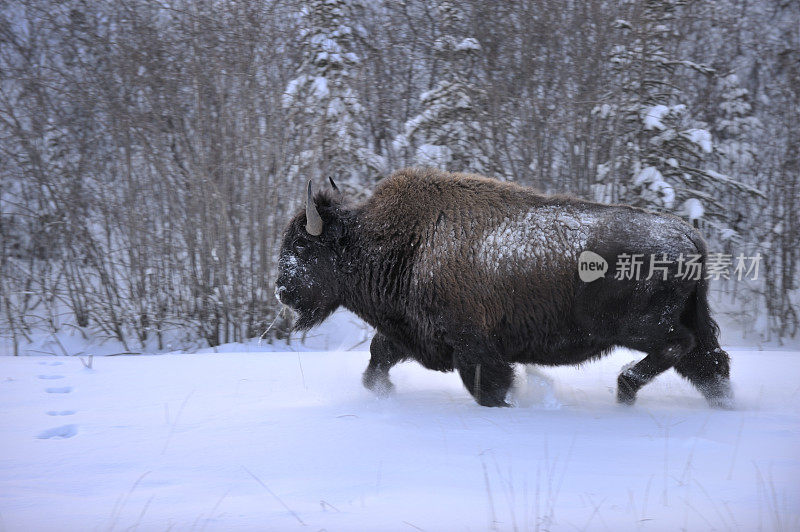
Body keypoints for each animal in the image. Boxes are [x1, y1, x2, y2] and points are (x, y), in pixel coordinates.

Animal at [276, 168, 732, 410]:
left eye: (301, 245)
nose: (281, 290)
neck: (405, 243)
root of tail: (690, 236)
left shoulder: (472, 348)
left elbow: (489, 387)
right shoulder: (407, 335)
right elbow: (376, 363)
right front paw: (385, 394)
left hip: (640, 327)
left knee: (681, 347)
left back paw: (625, 389)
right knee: (710, 363)